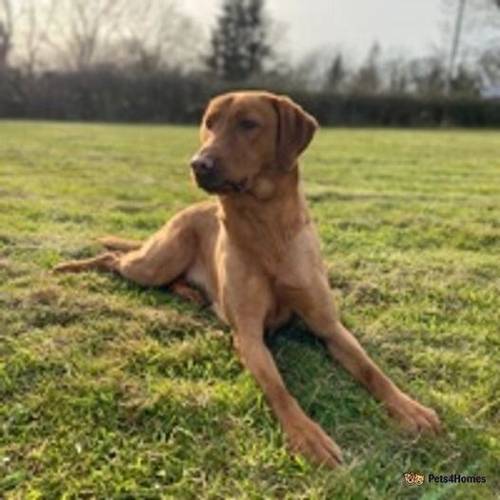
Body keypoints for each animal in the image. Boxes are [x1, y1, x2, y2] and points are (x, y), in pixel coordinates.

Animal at [52, 90, 440, 468]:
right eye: (209, 124)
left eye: (249, 124)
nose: (198, 164)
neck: (267, 232)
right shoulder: (249, 335)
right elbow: (279, 389)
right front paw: (308, 436)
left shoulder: (328, 325)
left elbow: (372, 371)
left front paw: (411, 409)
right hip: (155, 262)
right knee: (114, 258)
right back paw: (70, 267)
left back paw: (190, 293)